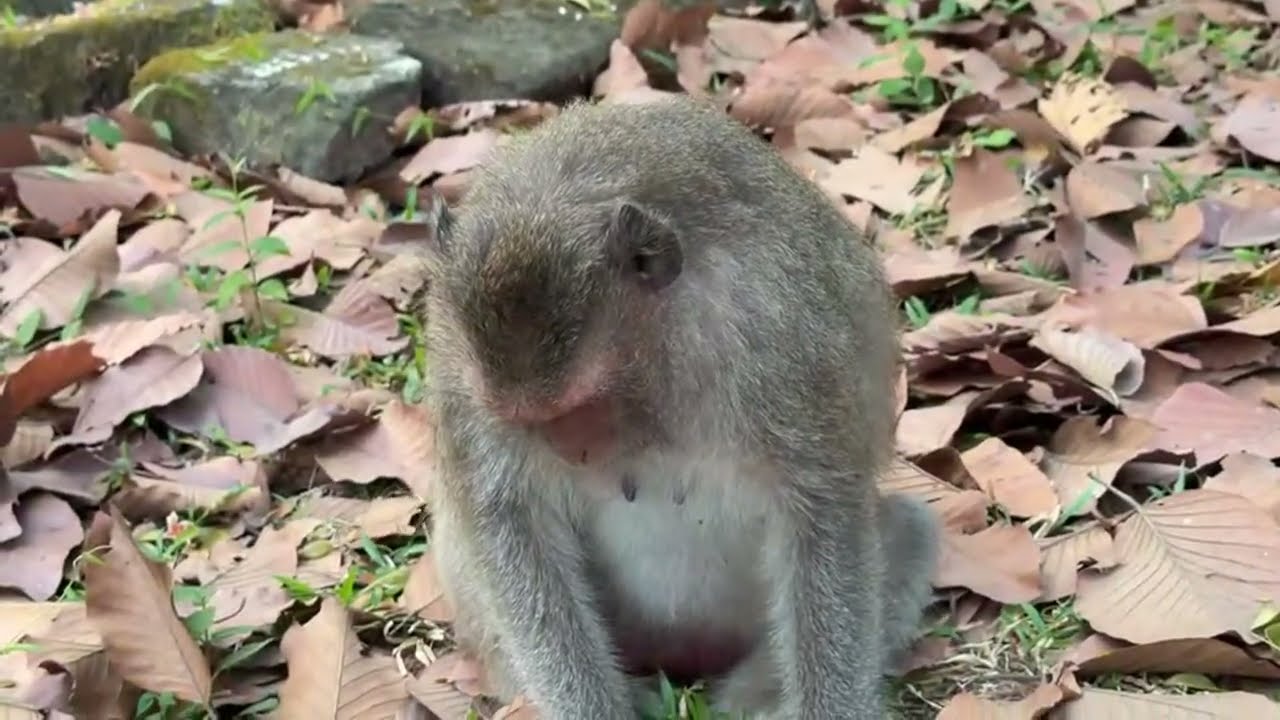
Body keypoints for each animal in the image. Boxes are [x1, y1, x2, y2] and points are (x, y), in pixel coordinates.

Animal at [420, 94, 940, 719]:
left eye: (578, 408)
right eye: (526, 421)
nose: (570, 450)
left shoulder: (778, 338)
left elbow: (822, 512)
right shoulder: (455, 365)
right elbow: (512, 525)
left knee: (908, 531)